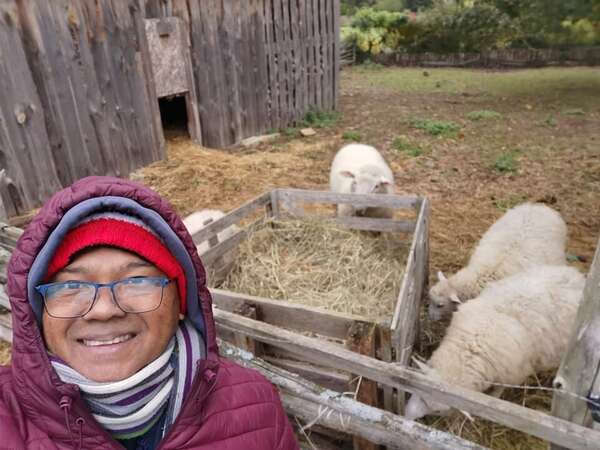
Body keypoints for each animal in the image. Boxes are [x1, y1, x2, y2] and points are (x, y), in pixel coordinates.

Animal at [406, 266, 584, 420]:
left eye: (437, 411)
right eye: (419, 389)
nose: (406, 415)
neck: (472, 346)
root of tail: (576, 275)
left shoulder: (513, 372)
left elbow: (500, 388)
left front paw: (493, 399)